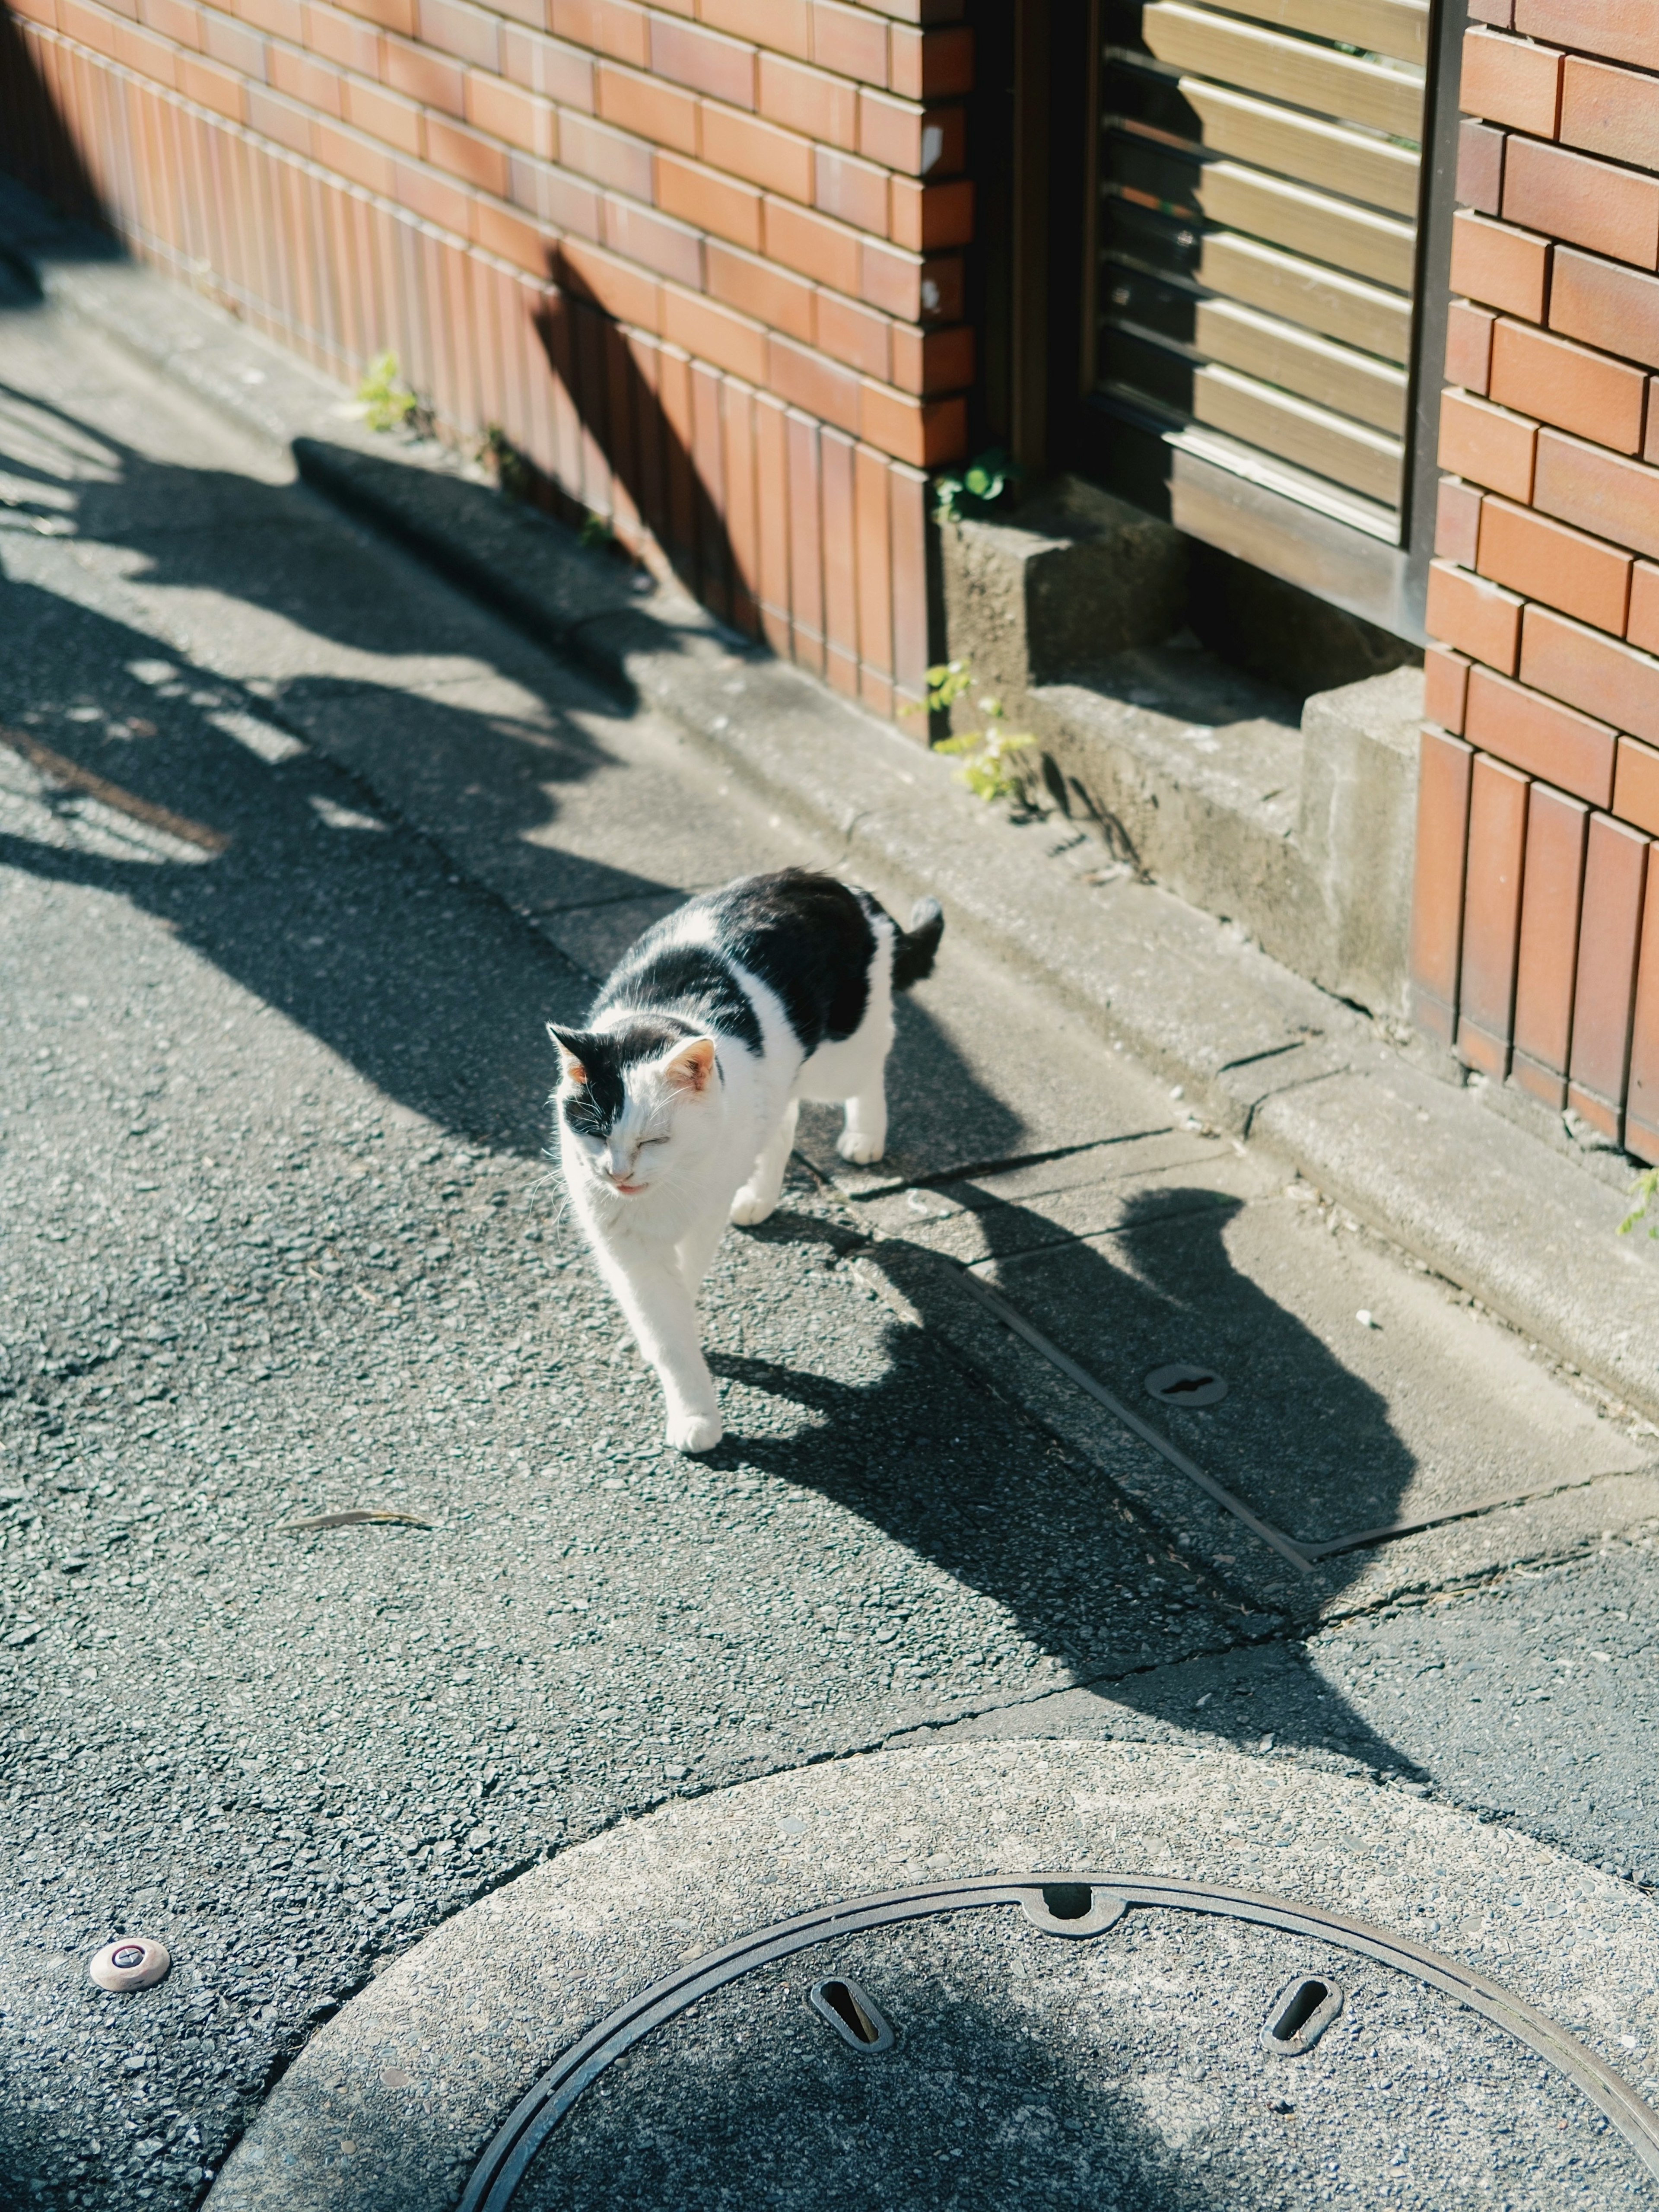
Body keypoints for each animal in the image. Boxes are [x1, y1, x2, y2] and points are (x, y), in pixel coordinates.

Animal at [555, 871, 942, 1460]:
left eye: (655, 1139)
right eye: (597, 1132)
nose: (618, 1174)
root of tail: (837, 882)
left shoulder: (702, 1214)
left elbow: (683, 1286)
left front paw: (696, 1414)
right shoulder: (620, 1240)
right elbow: (662, 1319)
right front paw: (676, 1377)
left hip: (843, 1054)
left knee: (871, 1066)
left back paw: (864, 1136)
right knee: (782, 1121)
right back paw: (760, 1198)